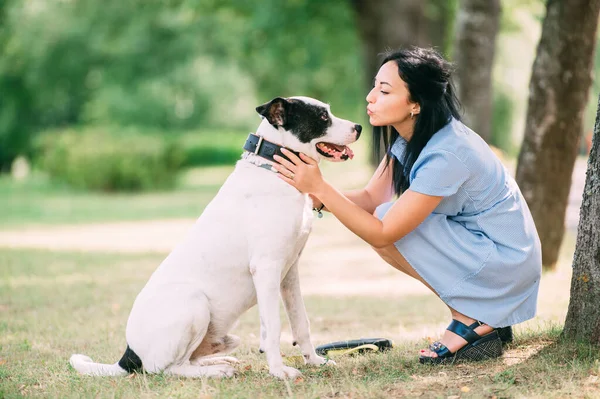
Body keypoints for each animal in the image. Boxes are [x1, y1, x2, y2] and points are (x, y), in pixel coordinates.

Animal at [70, 97, 360, 382]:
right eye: (322, 116)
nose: (358, 127)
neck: (272, 169)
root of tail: (129, 355)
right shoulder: (266, 269)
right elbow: (273, 328)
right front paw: (279, 371)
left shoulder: (289, 273)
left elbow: (301, 322)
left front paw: (314, 361)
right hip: (194, 304)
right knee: (167, 368)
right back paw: (217, 370)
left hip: (225, 335)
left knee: (189, 359)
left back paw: (220, 362)